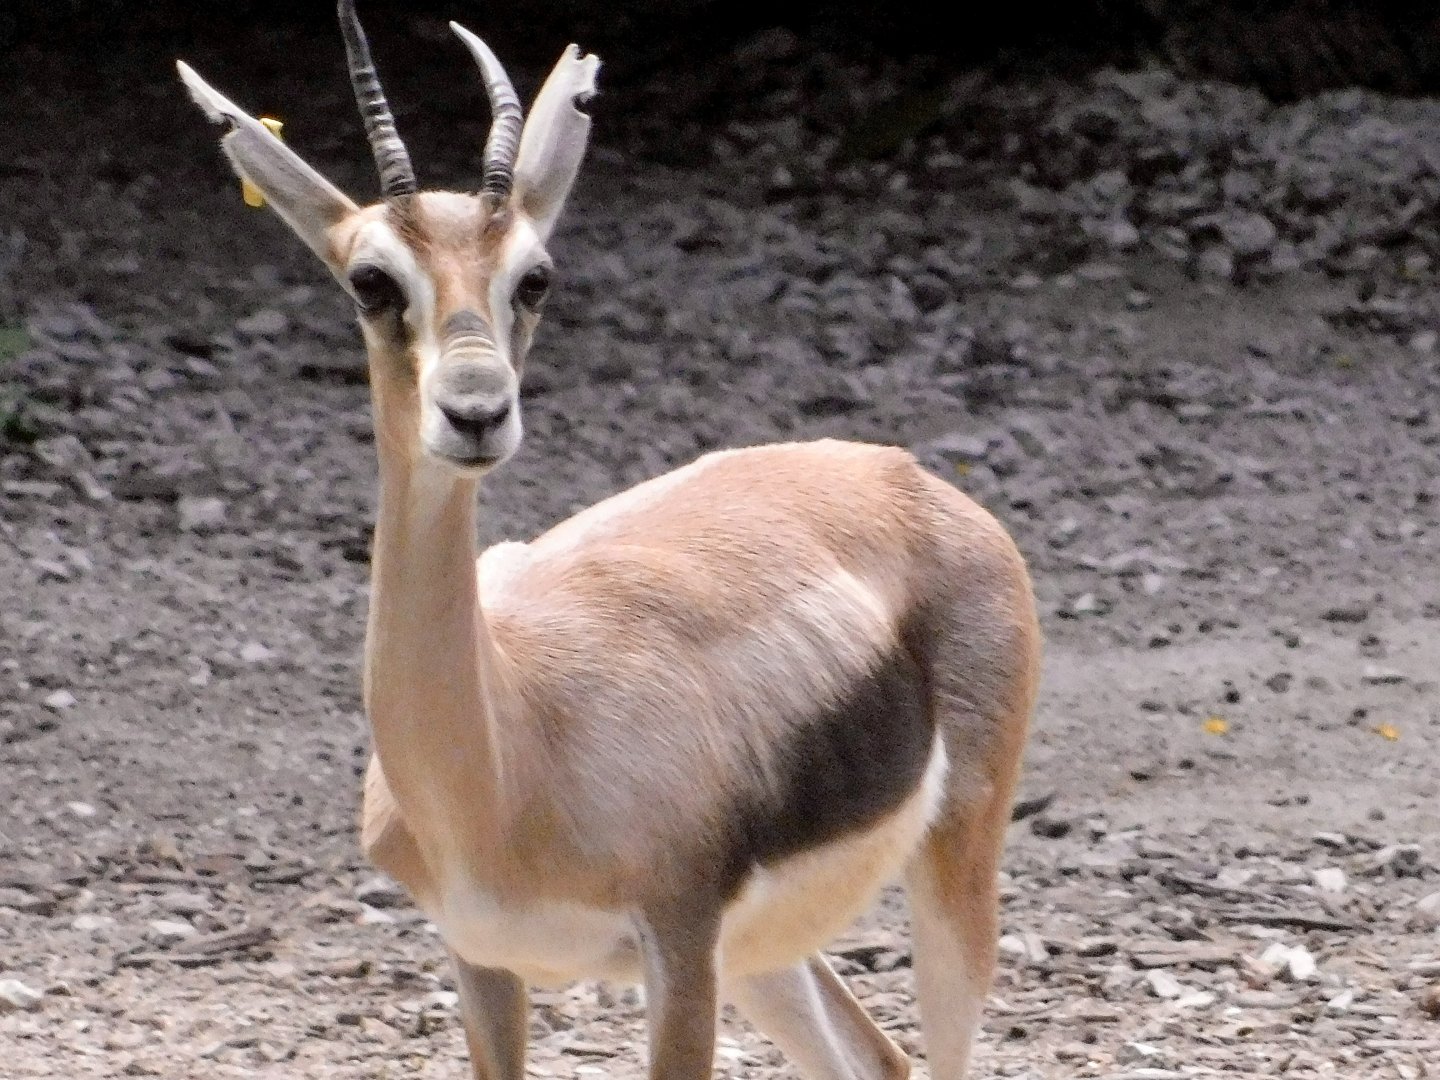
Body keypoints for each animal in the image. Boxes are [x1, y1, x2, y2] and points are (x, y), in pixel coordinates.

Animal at [176, 4, 1041, 1078]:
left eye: (534, 278)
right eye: (372, 281)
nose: (476, 412)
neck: (510, 761)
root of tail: (905, 478)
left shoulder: (679, 946)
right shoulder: (482, 960)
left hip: (947, 867)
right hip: (765, 956)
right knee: (872, 1058)